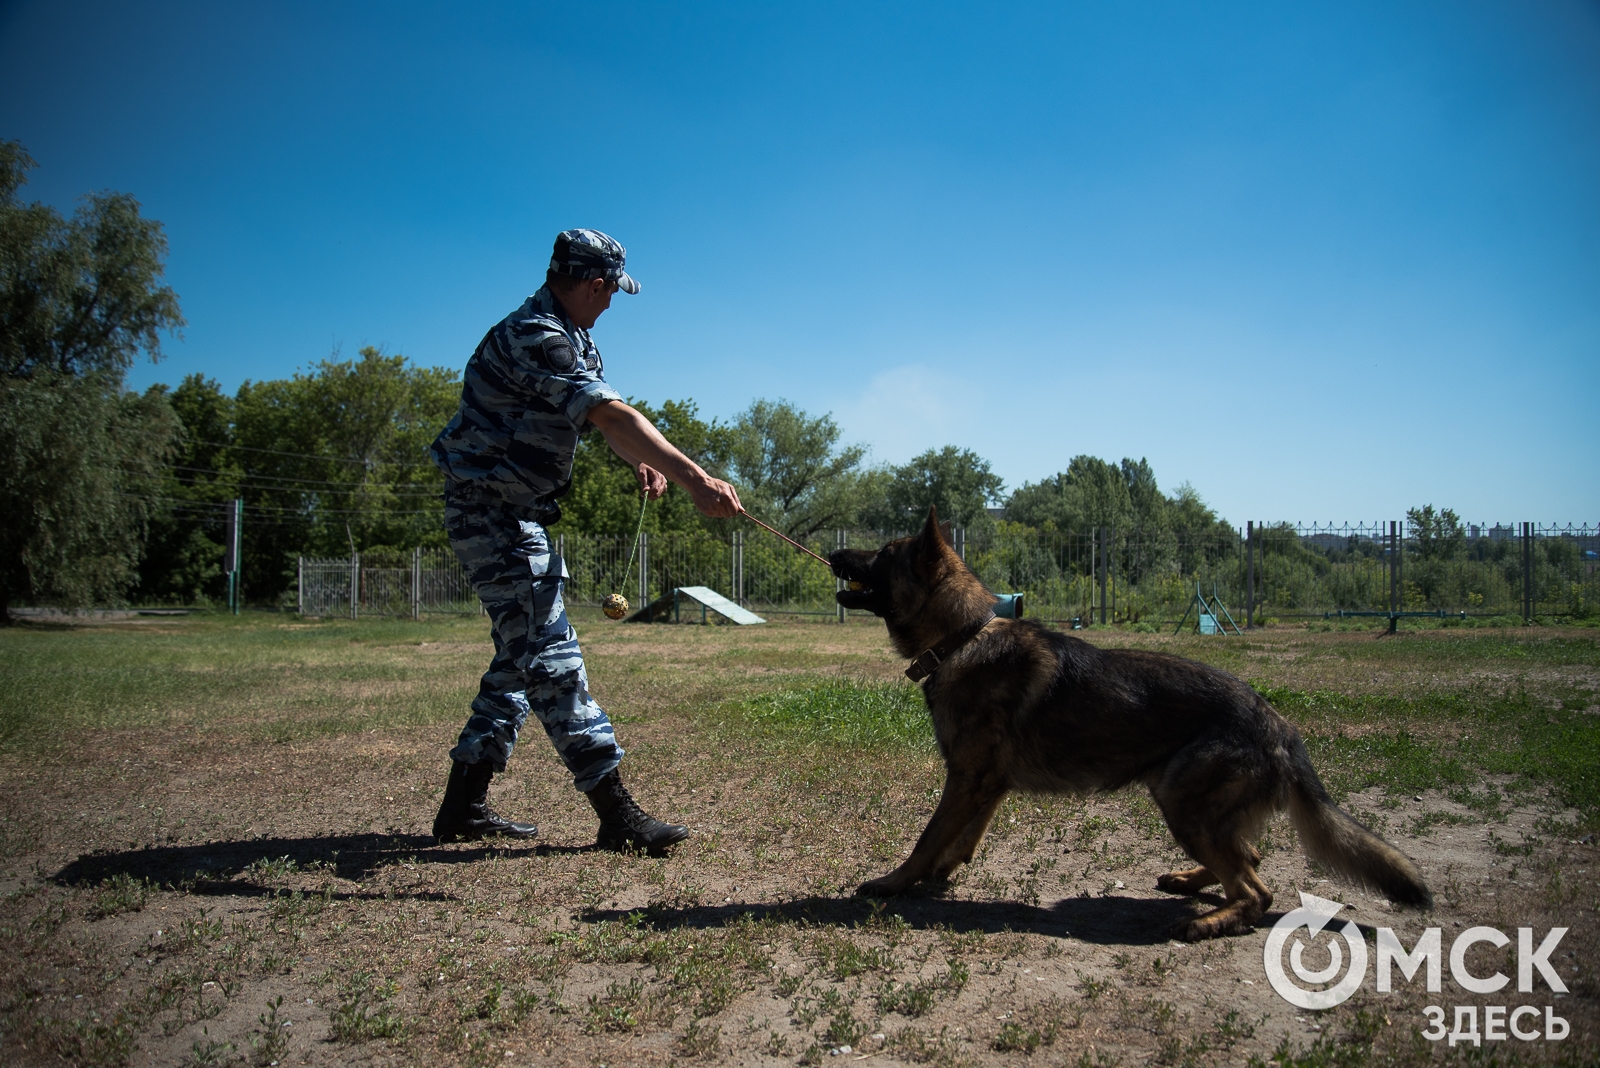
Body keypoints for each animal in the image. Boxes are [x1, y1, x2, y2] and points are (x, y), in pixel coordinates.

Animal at [832, 508, 1433, 933]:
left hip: (1182, 801)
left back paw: (1207, 922)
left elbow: (927, 837)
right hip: (1193, 808)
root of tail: (1280, 727)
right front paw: (941, 873)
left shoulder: (967, 779)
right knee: (1251, 857)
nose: (834, 553)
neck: (963, 637)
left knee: (1257, 891)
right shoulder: (985, 783)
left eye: (883, 555)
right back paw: (1192, 882)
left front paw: (895, 882)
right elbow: (962, 838)